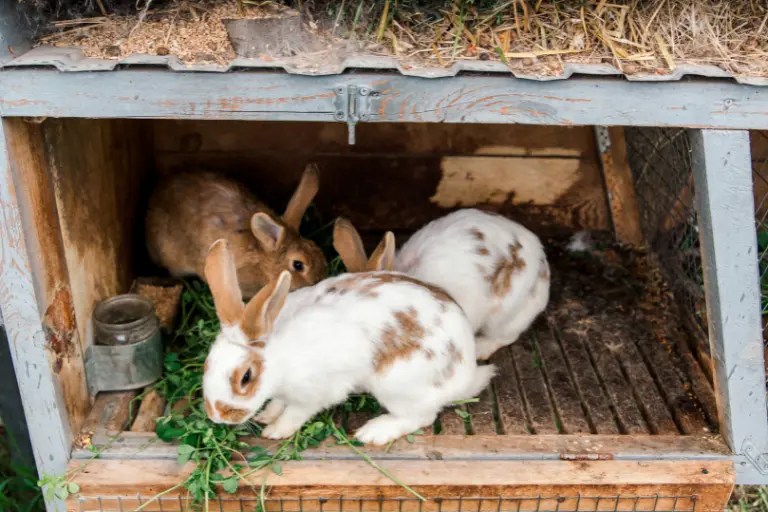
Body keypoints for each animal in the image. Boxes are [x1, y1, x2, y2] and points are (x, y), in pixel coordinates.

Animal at [201, 238, 495, 445]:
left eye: (246, 377)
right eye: (207, 363)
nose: (216, 416)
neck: (279, 357)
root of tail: (465, 373)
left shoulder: (315, 393)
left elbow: (296, 412)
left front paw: (275, 431)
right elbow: (277, 402)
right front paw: (267, 415)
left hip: (397, 386)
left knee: (421, 416)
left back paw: (373, 432)